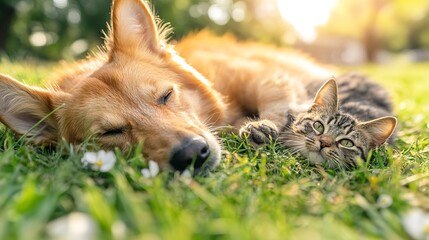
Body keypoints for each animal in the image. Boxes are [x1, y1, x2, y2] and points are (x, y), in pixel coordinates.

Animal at [0, 0, 334, 173]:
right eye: (110, 132)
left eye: (166, 95)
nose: (193, 154)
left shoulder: (256, 73)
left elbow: (273, 94)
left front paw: (266, 124)